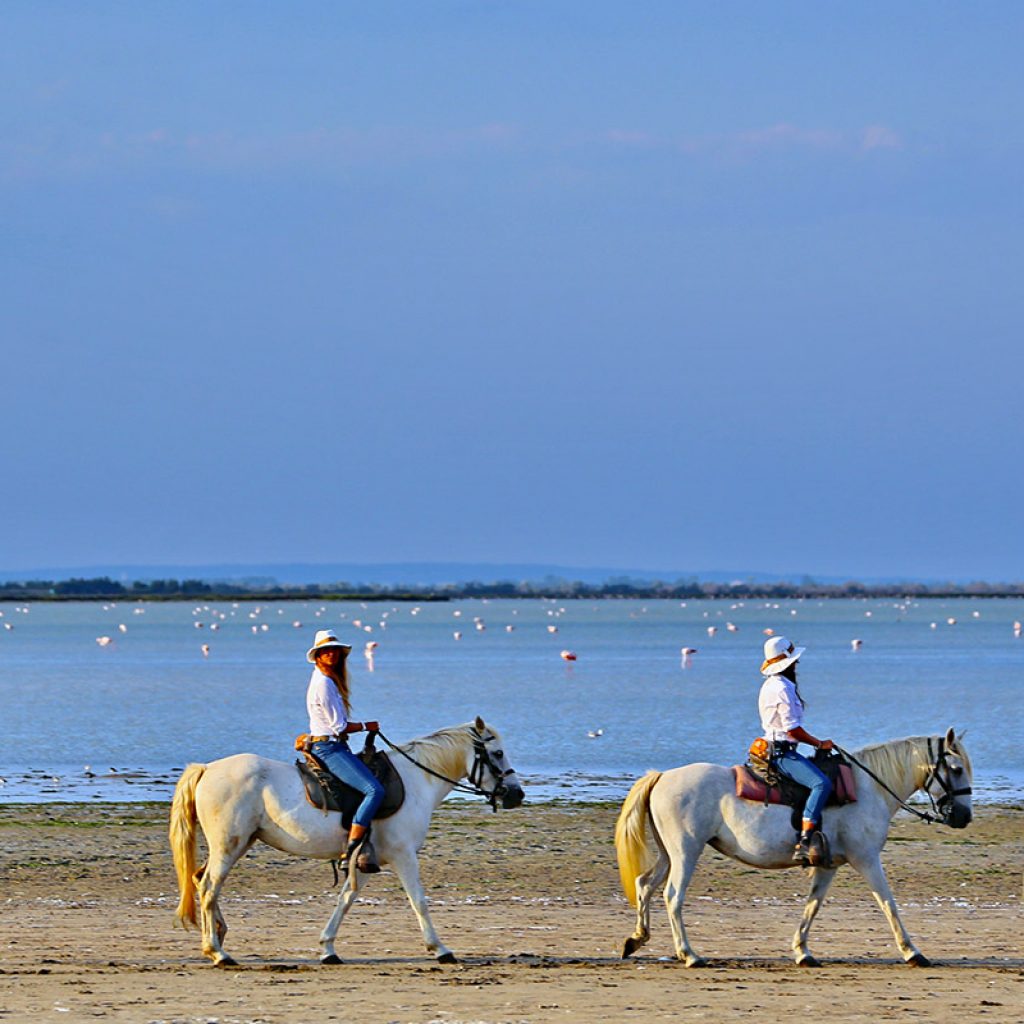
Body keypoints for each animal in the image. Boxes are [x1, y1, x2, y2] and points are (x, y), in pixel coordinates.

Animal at [169, 716, 520, 962]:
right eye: (498, 753)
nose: (516, 794)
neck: (415, 780)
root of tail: (207, 769)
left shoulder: (366, 860)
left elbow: (346, 898)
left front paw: (328, 949)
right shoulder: (404, 855)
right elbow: (418, 900)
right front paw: (440, 948)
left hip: (238, 844)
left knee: (201, 880)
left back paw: (218, 934)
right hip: (229, 846)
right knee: (208, 887)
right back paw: (217, 952)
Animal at [610, 729, 970, 966]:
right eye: (955, 768)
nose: (963, 816)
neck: (868, 788)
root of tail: (662, 777)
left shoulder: (828, 864)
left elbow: (813, 905)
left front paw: (802, 951)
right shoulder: (866, 859)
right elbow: (888, 903)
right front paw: (912, 951)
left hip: (668, 853)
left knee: (645, 884)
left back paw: (636, 939)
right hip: (686, 852)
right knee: (673, 896)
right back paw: (689, 954)